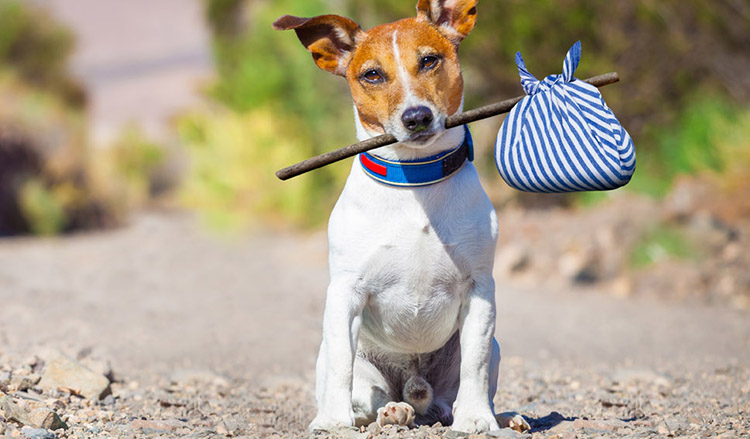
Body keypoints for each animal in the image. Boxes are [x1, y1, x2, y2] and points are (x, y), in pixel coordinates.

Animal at [274, 0, 528, 434]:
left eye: (429, 60)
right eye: (372, 74)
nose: (417, 117)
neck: (416, 180)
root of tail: (417, 391)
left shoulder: (479, 289)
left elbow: (475, 364)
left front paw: (477, 418)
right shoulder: (345, 293)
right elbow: (342, 366)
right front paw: (332, 421)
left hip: (486, 351)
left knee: (454, 393)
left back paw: (500, 416)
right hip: (356, 365)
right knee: (368, 397)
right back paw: (392, 411)